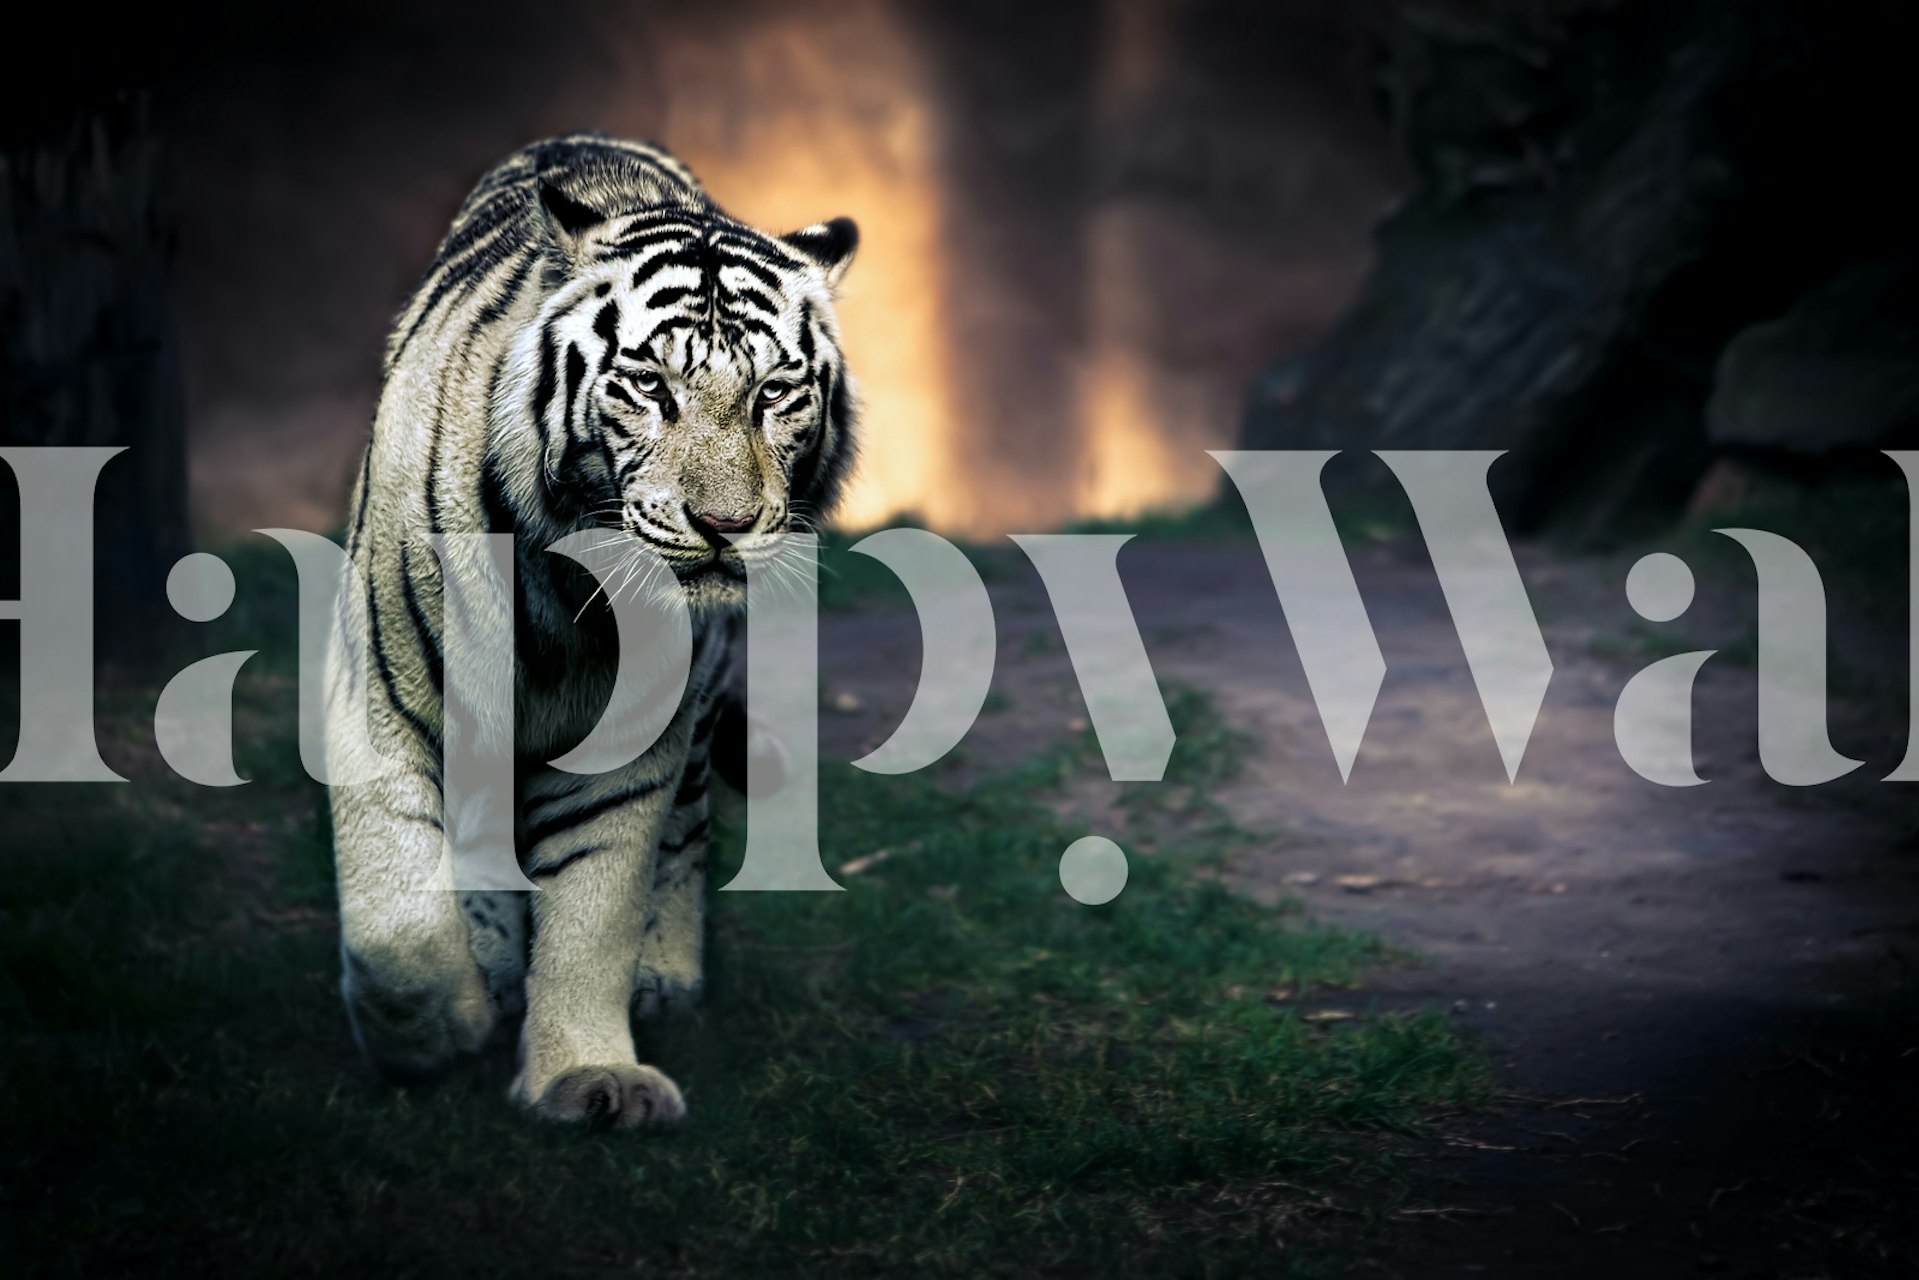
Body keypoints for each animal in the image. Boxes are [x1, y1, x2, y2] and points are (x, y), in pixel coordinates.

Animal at [323, 134, 857, 1127]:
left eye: (774, 393)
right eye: (649, 386)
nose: (725, 524)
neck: (574, 586)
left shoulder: (631, 738)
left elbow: (595, 902)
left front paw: (586, 1074)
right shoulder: (382, 696)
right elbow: (397, 922)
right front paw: (439, 1031)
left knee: (687, 826)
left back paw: (664, 973)